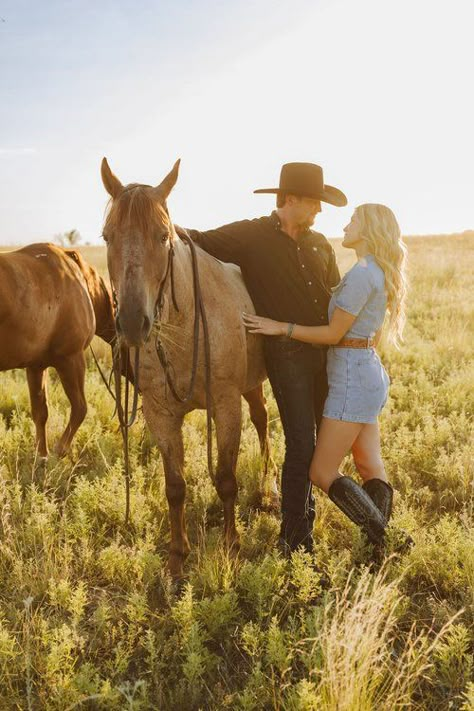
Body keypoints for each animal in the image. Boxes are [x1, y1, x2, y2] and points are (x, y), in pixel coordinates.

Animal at [0, 243, 115, 456]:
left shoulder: (36, 366)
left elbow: (40, 413)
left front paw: (42, 457)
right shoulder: (72, 359)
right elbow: (80, 409)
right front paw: (59, 451)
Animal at [103, 156, 274, 580]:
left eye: (163, 236)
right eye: (106, 236)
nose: (133, 322)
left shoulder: (226, 405)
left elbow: (226, 479)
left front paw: (231, 547)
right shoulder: (160, 416)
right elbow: (175, 487)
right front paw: (177, 558)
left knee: (263, 423)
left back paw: (269, 489)